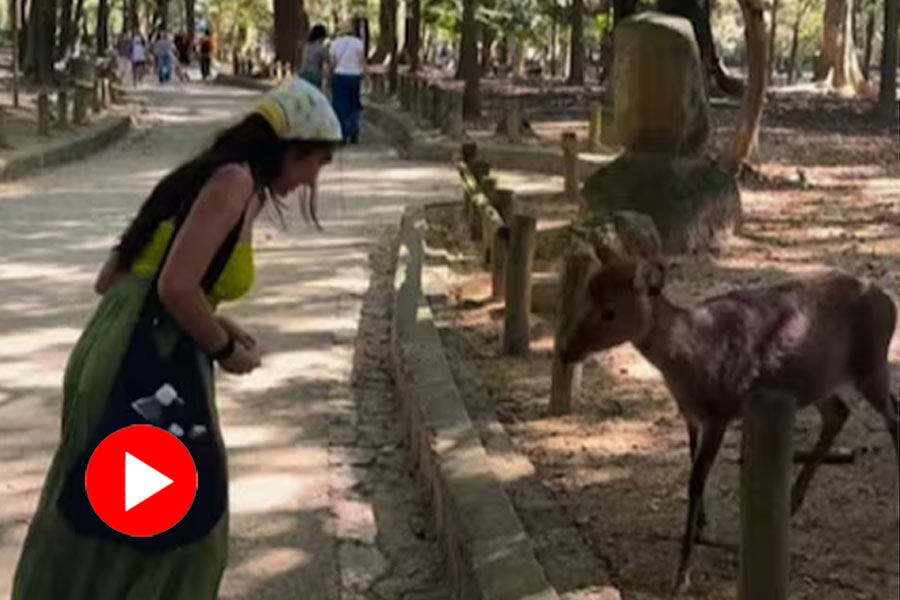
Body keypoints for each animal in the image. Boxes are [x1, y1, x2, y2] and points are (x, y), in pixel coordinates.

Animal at [560, 243, 896, 592]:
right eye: (585, 296)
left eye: (609, 312)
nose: (566, 350)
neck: (688, 359)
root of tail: (889, 302)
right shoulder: (691, 414)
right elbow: (692, 467)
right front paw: (702, 525)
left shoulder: (719, 413)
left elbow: (696, 480)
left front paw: (682, 575)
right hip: (817, 382)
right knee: (839, 413)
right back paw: (792, 501)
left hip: (871, 366)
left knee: (891, 417)